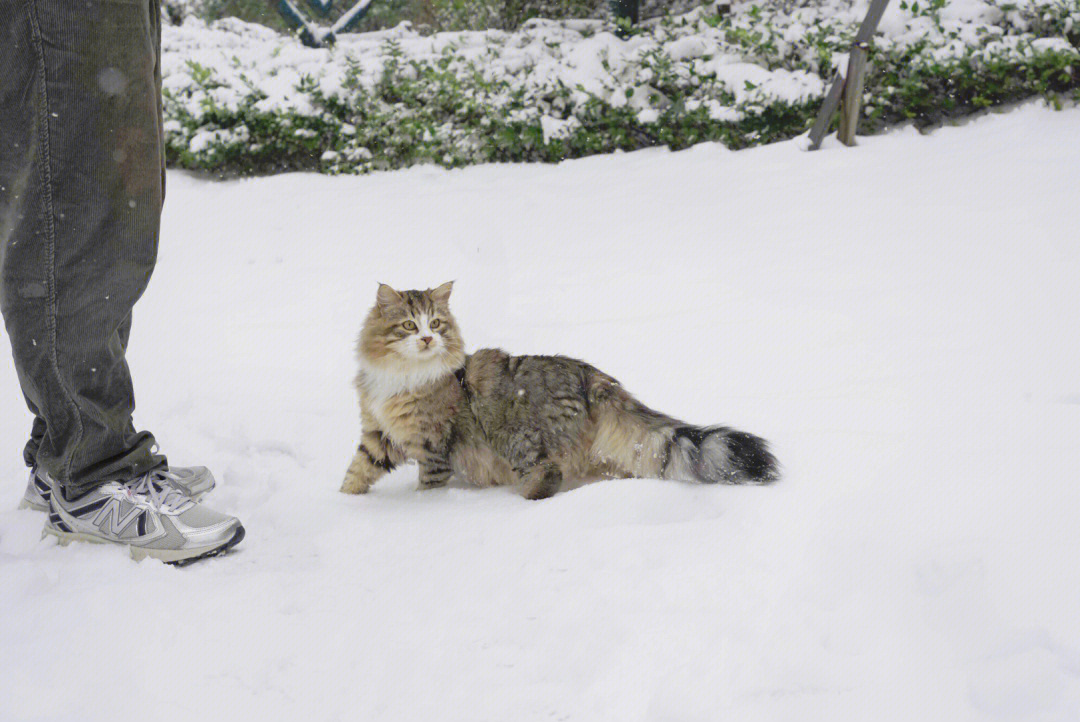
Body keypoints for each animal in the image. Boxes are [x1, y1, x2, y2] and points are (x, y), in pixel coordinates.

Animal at [341, 282, 781, 500]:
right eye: (409, 325)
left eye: (435, 323)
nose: (428, 339)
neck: (399, 377)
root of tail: (592, 376)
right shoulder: (377, 434)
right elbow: (357, 470)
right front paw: (344, 502)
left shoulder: (432, 444)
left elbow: (427, 486)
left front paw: (422, 511)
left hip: (515, 437)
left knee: (547, 473)